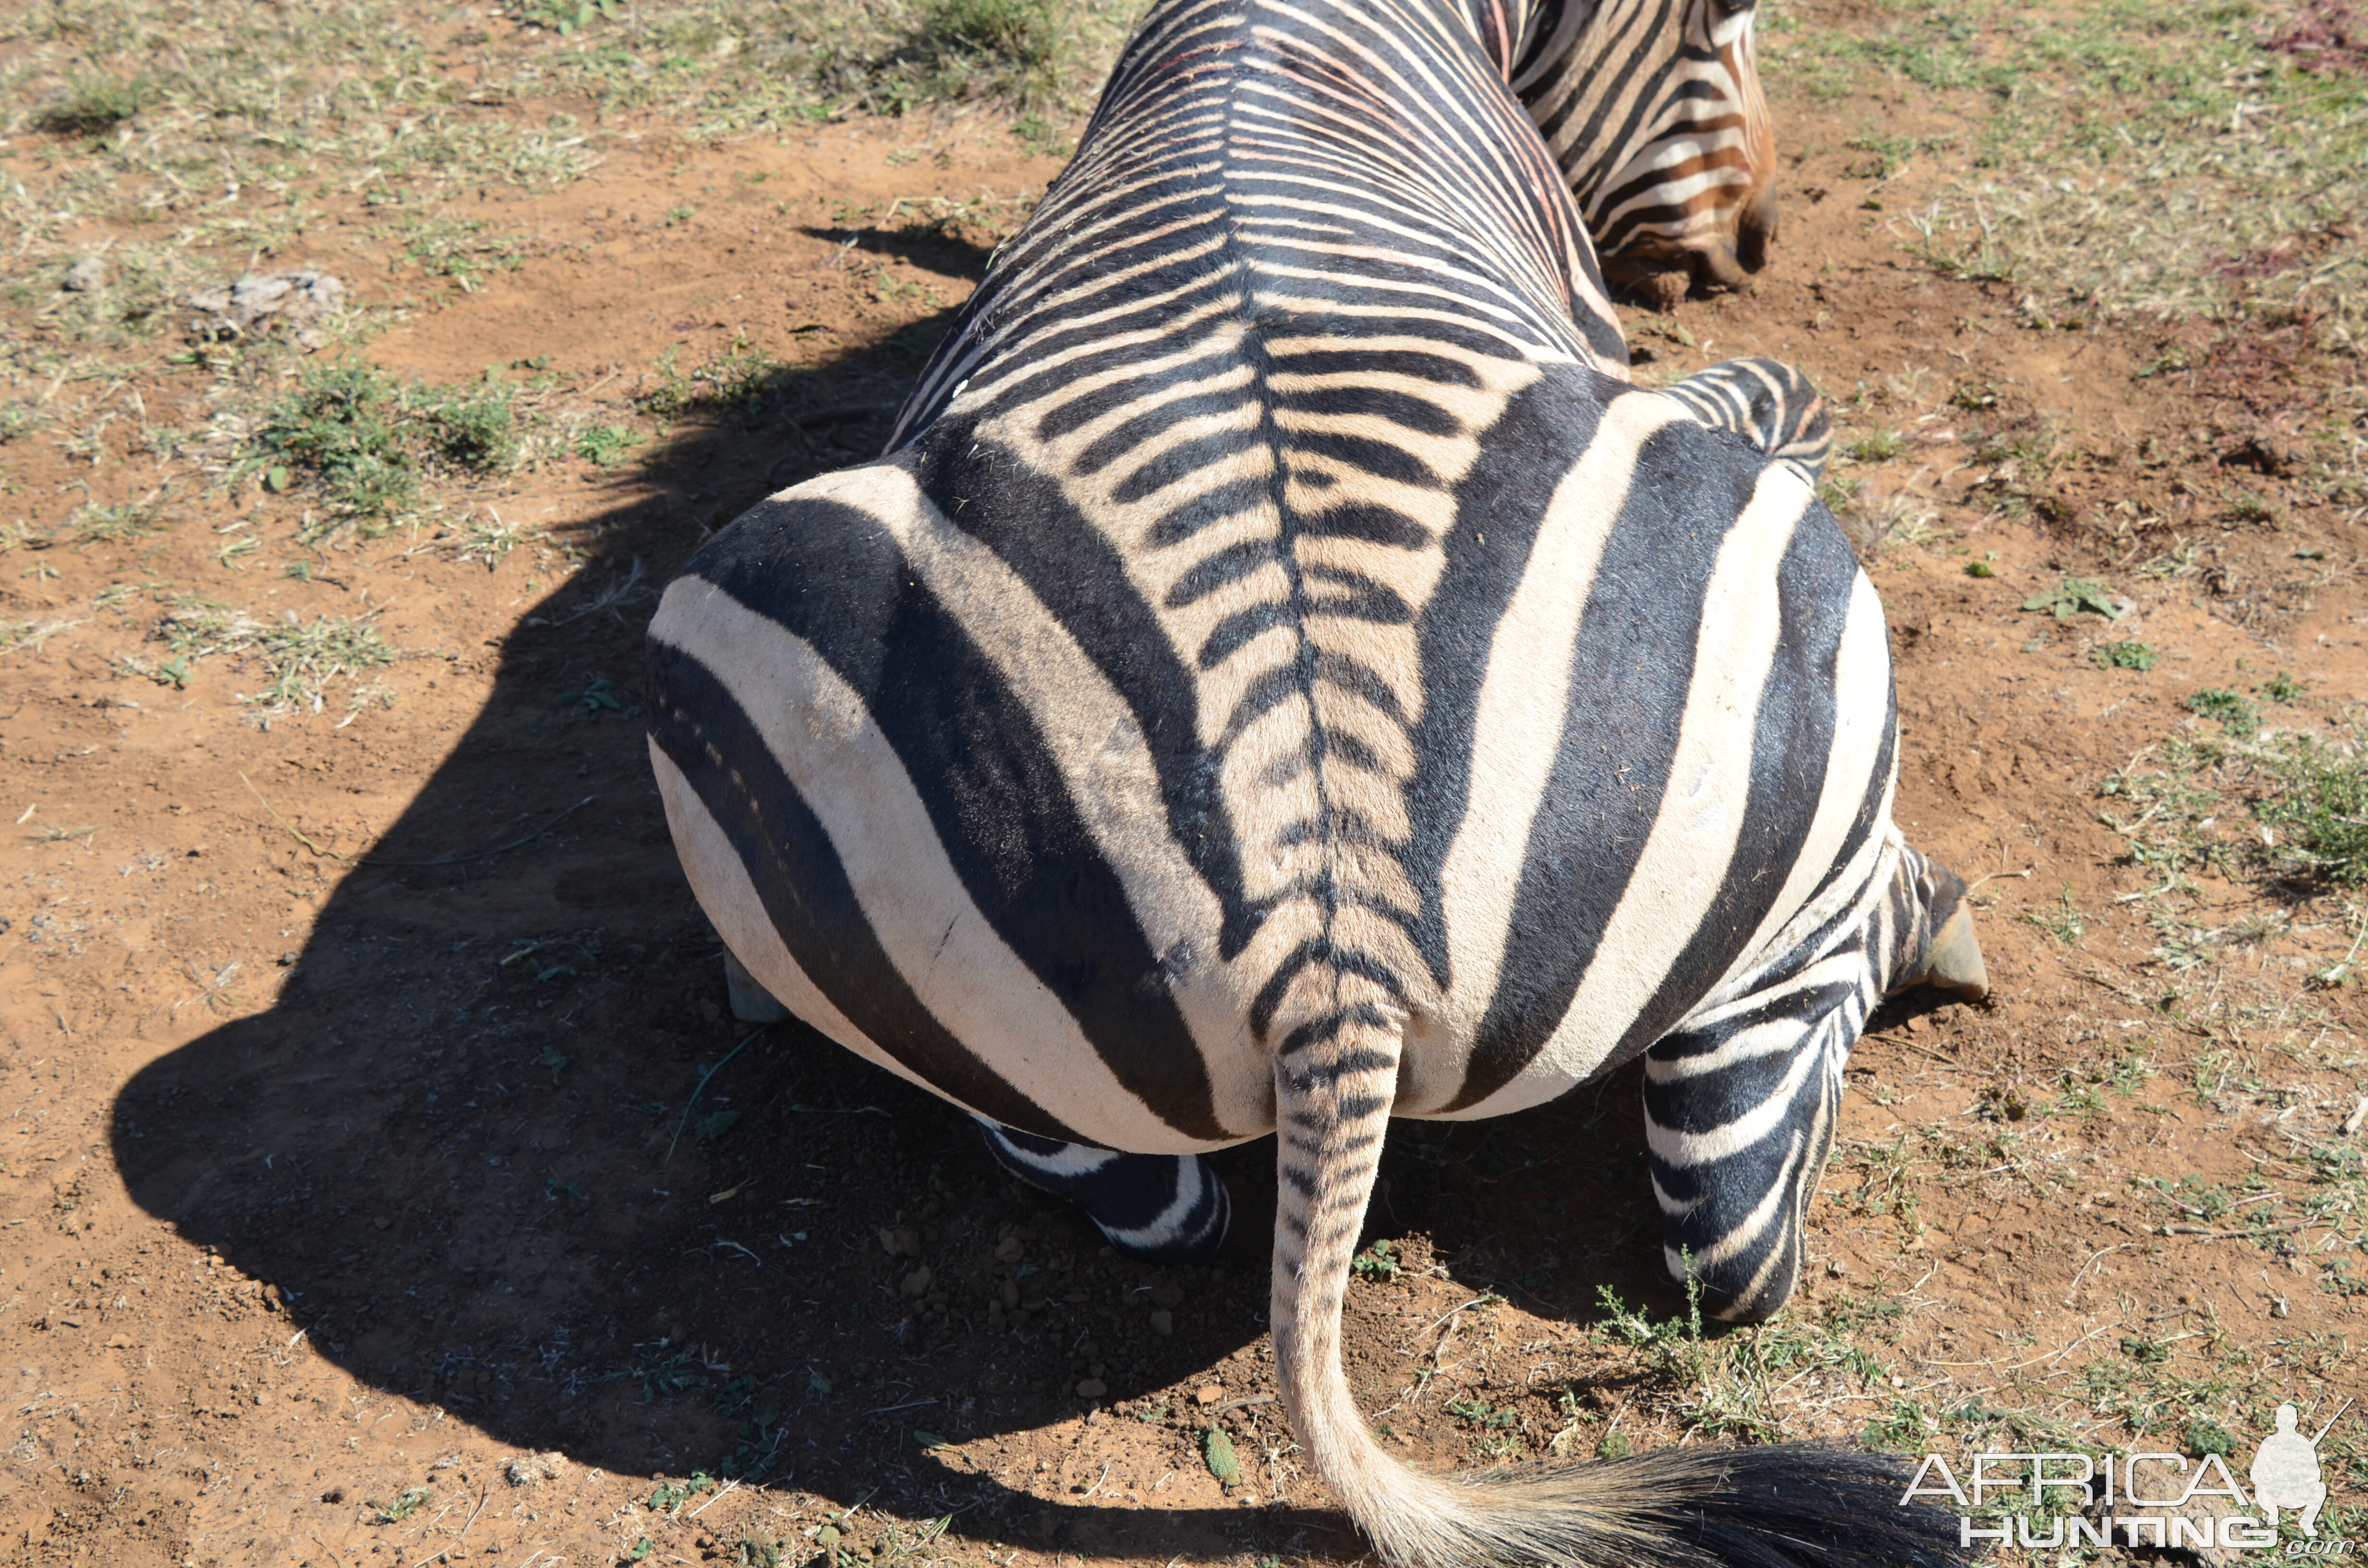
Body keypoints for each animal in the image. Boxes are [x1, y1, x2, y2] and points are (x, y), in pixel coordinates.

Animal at [639, 0, 1989, 1563]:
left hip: (790, 685)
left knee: (1164, 1205)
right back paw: (1936, 922)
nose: (1750, 249)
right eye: (1719, 33)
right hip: (1802, 687)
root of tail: (1332, 941)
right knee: (1742, 1224)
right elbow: (1792, 384)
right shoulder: (1653, 354)